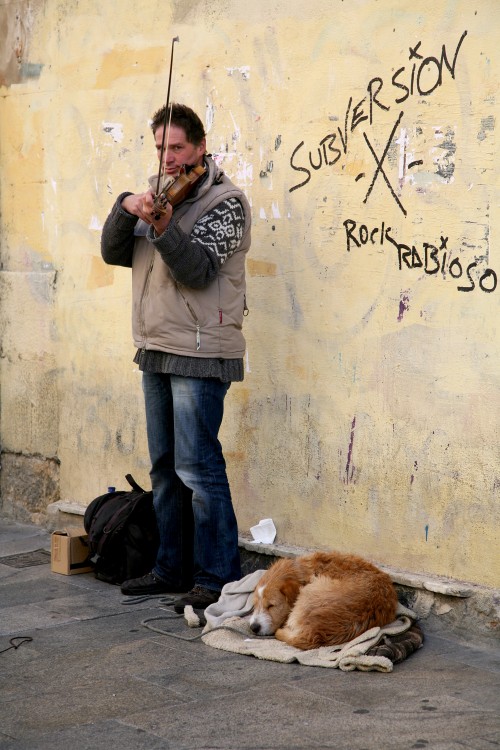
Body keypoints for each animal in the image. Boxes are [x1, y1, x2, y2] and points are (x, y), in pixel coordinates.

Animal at [250, 552, 398, 652]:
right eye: (255, 605)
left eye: (271, 605)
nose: (254, 627)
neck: (303, 571)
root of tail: (313, 632)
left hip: (310, 590)